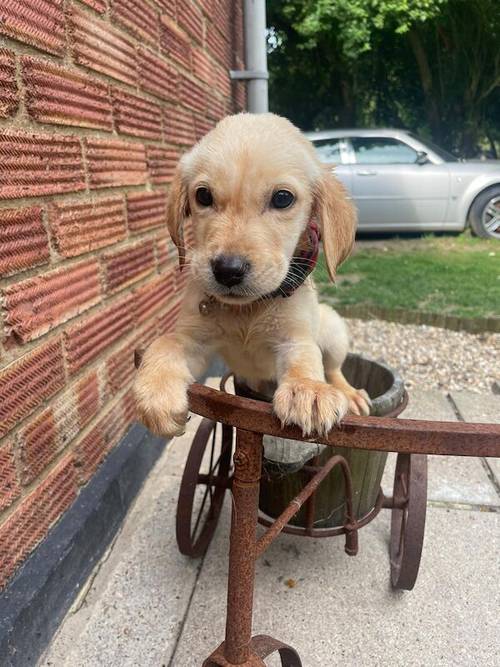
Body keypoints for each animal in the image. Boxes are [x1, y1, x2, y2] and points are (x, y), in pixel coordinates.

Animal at [135, 113, 370, 438]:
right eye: (203, 195)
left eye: (282, 198)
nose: (227, 270)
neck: (248, 309)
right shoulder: (195, 340)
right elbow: (167, 343)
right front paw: (156, 391)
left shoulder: (294, 338)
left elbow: (305, 359)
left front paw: (308, 389)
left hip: (333, 329)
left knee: (334, 368)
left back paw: (349, 393)